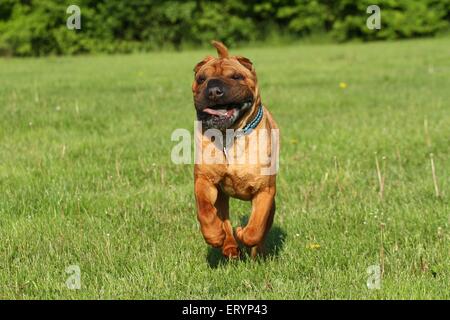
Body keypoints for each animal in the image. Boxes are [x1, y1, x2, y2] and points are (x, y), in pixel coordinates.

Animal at [192, 41, 280, 258]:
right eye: (201, 79)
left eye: (236, 76)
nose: (214, 90)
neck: (229, 136)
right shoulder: (204, 181)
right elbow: (205, 210)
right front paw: (213, 235)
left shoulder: (265, 191)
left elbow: (256, 228)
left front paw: (244, 234)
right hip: (222, 198)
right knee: (224, 220)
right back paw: (230, 246)